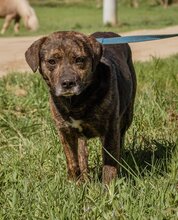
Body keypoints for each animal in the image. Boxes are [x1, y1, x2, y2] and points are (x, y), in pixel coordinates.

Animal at [24, 31, 136, 185]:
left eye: (79, 59)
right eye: (52, 61)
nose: (67, 83)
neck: (76, 102)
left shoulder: (110, 131)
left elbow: (109, 165)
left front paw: (109, 188)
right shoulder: (65, 132)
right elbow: (72, 161)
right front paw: (74, 185)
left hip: (127, 117)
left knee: (121, 138)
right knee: (82, 152)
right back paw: (85, 177)